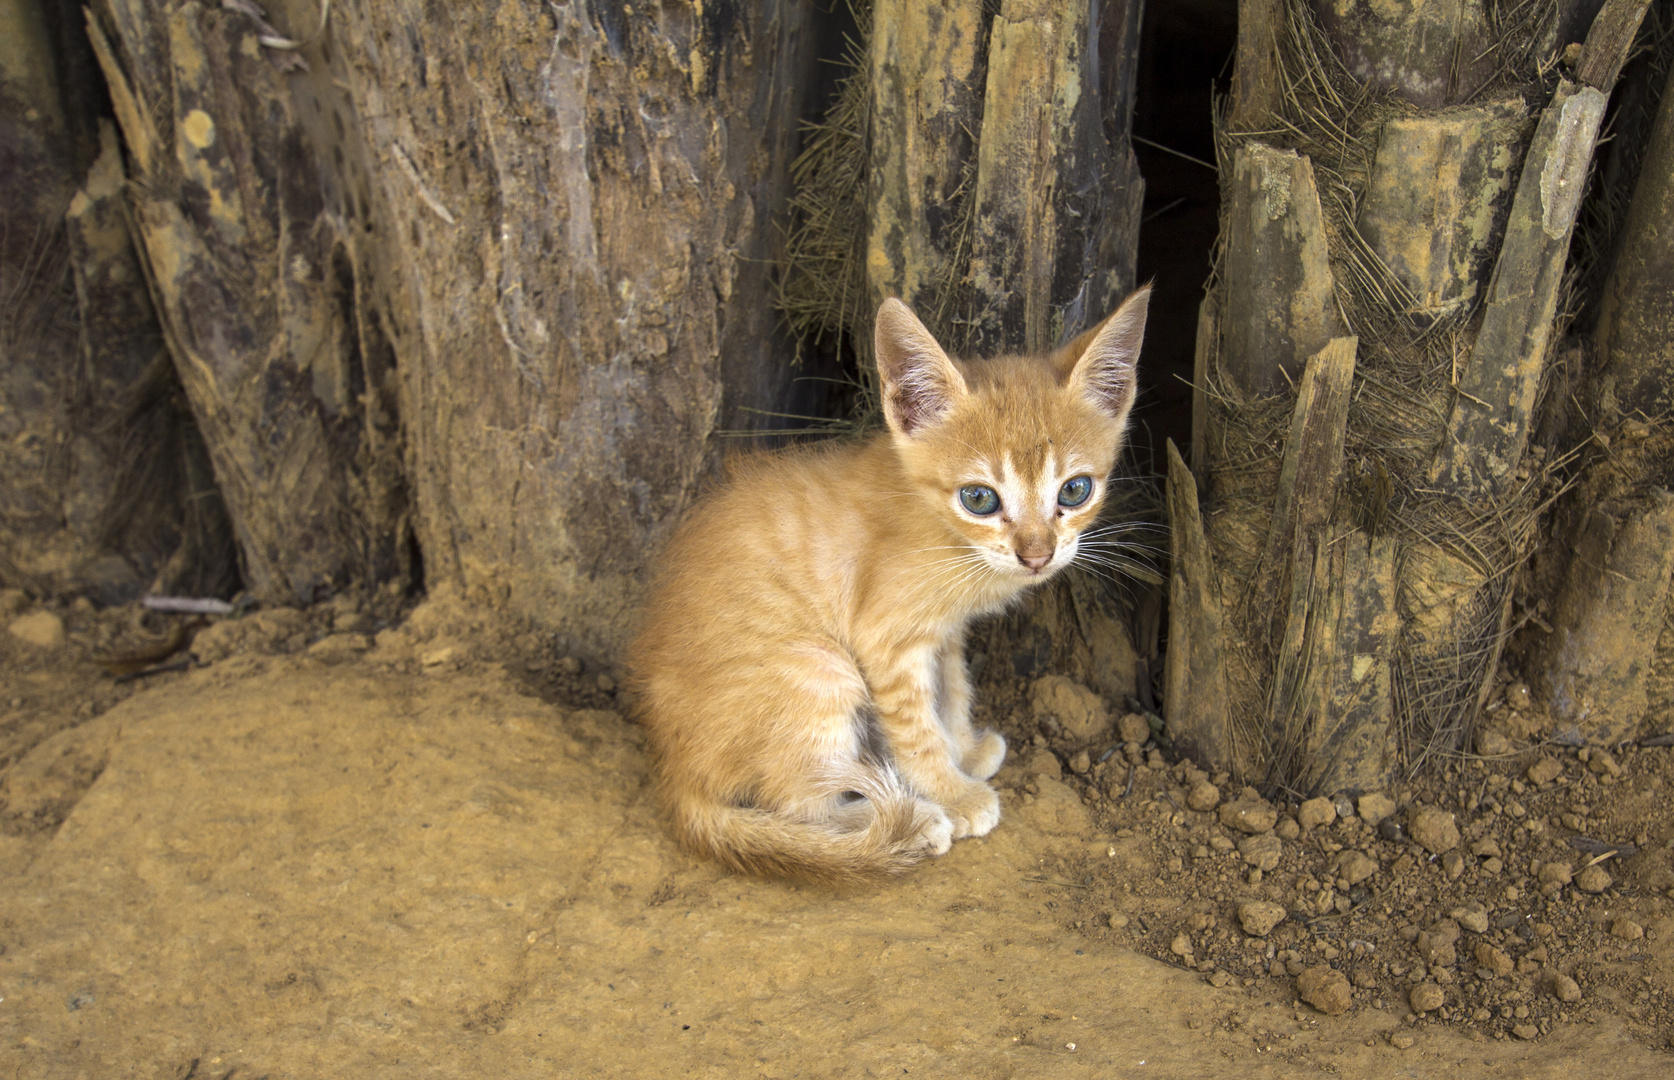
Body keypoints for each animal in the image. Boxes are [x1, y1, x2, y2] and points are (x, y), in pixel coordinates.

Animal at [629, 288, 1151, 884]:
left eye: (1075, 490)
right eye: (979, 498)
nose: (1037, 556)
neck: (947, 535)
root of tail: (672, 772)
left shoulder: (945, 632)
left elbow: (952, 689)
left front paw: (964, 751)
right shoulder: (886, 639)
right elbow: (916, 728)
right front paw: (954, 793)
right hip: (821, 668)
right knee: (799, 802)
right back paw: (907, 823)